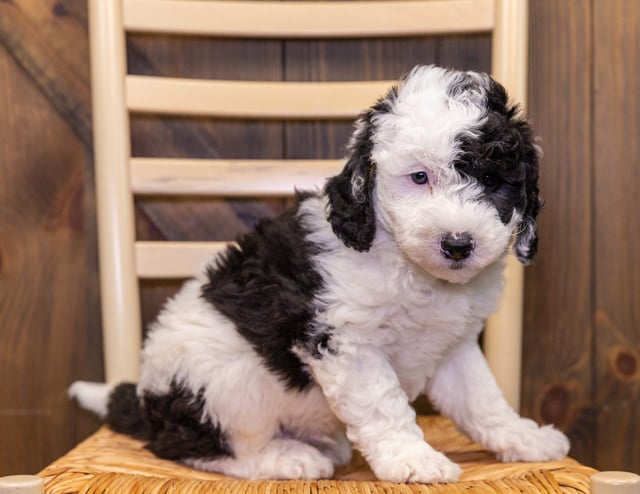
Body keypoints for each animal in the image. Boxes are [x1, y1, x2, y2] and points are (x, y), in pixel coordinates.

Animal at [71, 64, 568, 482]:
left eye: (493, 182)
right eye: (419, 178)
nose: (458, 244)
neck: (407, 267)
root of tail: (145, 400)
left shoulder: (454, 347)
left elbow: (483, 400)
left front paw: (524, 438)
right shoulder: (347, 343)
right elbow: (384, 406)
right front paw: (413, 460)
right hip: (223, 384)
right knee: (198, 447)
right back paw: (287, 457)